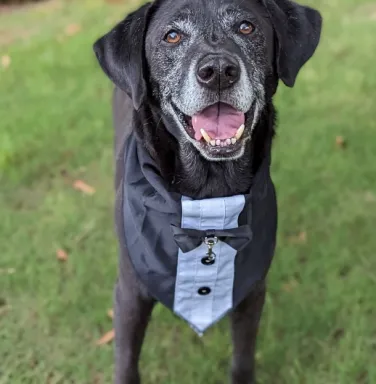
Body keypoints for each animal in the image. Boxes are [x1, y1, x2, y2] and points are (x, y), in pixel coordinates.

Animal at [94, 0, 324, 380]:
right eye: (172, 35)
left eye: (246, 27)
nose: (218, 71)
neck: (209, 196)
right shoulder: (129, 295)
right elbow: (126, 364)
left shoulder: (249, 293)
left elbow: (243, 358)